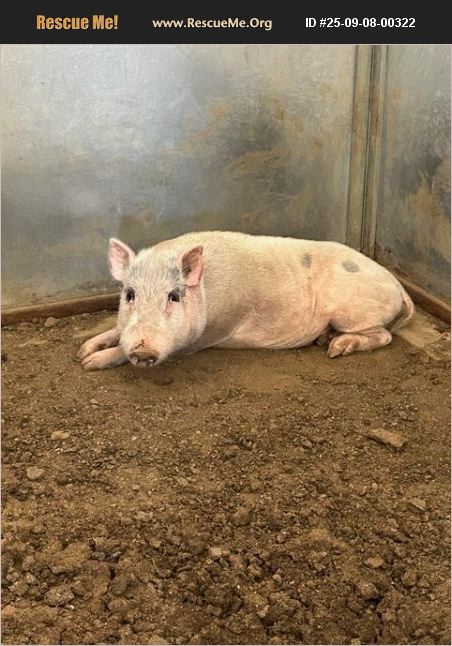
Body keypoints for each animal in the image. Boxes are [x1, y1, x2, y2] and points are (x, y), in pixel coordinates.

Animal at [77, 231, 415, 370]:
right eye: (129, 294)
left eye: (173, 296)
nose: (144, 350)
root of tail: (398, 286)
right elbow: (117, 332)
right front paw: (84, 351)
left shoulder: (202, 338)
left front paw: (89, 363)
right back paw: (325, 340)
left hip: (353, 311)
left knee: (383, 335)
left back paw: (335, 349)